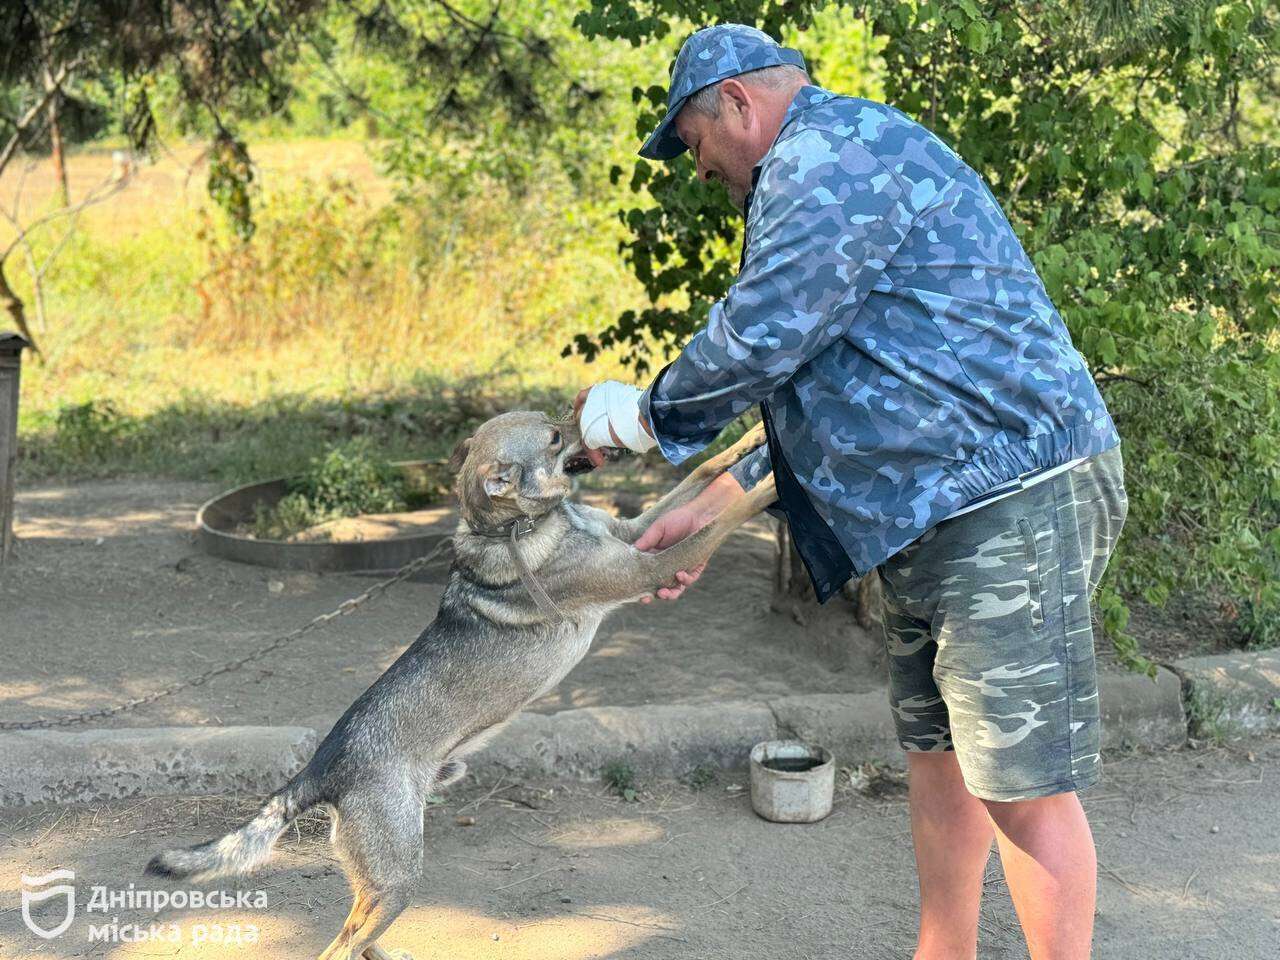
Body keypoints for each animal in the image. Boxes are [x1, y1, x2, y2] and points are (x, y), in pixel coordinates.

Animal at [145, 414, 773, 960]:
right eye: (553, 435)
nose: (592, 425)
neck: (522, 527)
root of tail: (319, 769)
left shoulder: (637, 532)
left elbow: (700, 476)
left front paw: (753, 440)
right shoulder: (651, 565)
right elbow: (724, 515)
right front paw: (772, 486)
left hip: (384, 883)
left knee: (355, 936)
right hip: (400, 875)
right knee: (337, 948)